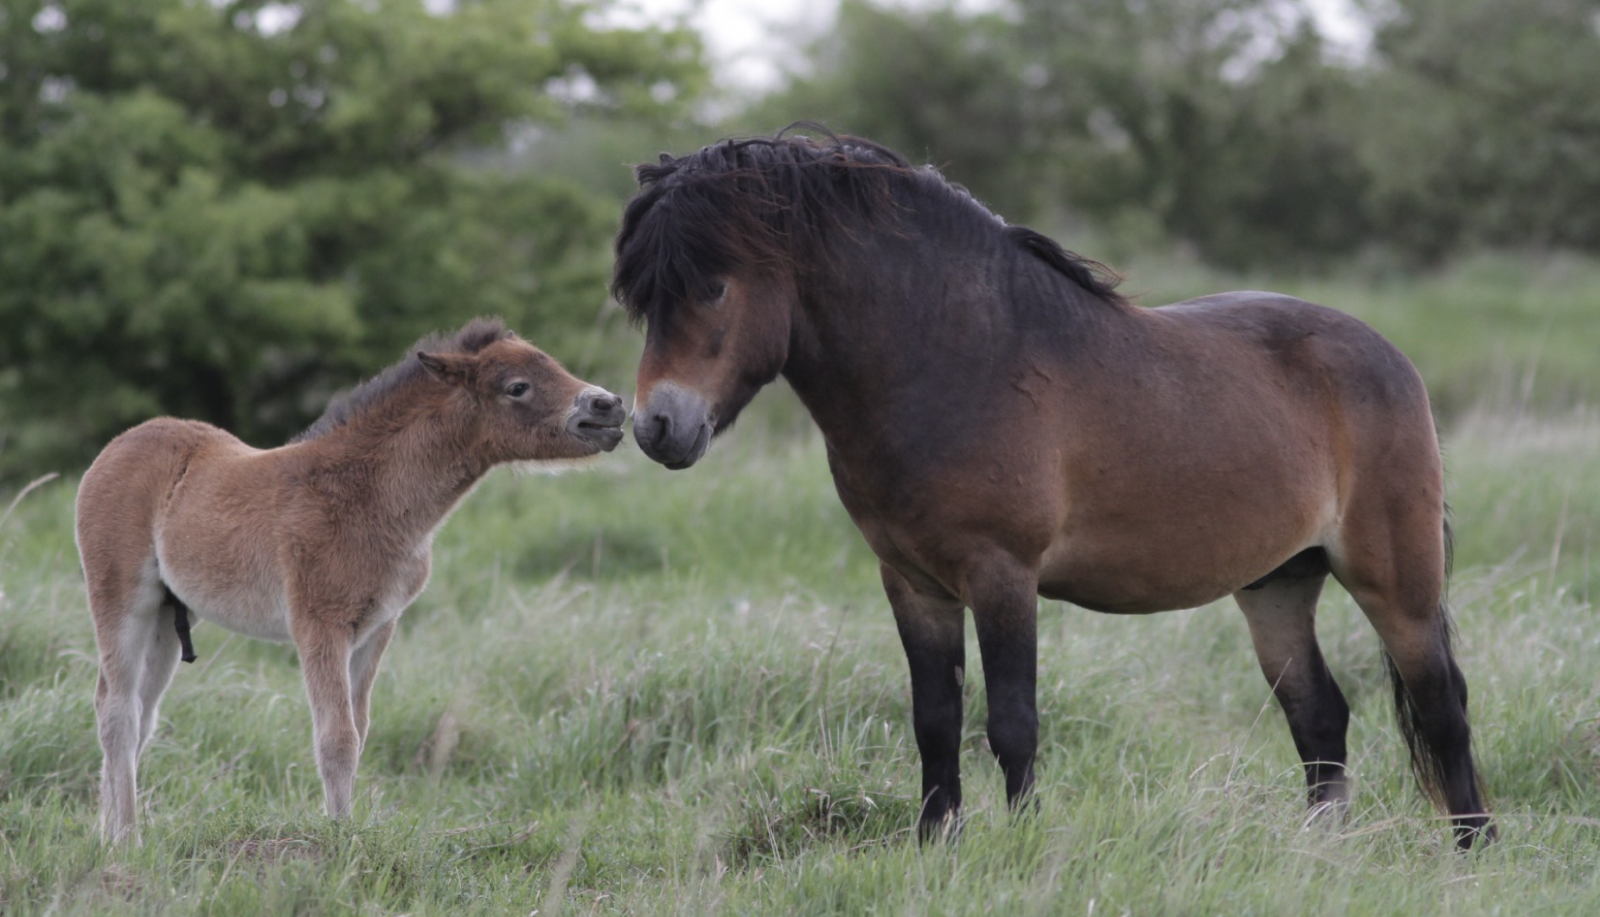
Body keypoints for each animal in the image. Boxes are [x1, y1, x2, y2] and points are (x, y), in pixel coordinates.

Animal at [614, 128, 1497, 844]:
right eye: (644, 297)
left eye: (713, 285)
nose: (656, 425)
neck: (956, 358)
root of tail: (1385, 354)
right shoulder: (913, 582)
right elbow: (935, 720)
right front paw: (936, 844)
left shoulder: (1003, 573)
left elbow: (1012, 721)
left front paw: (1024, 843)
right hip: (1278, 582)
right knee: (1318, 715)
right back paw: (1322, 854)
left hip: (1394, 579)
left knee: (1442, 707)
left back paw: (1472, 849)